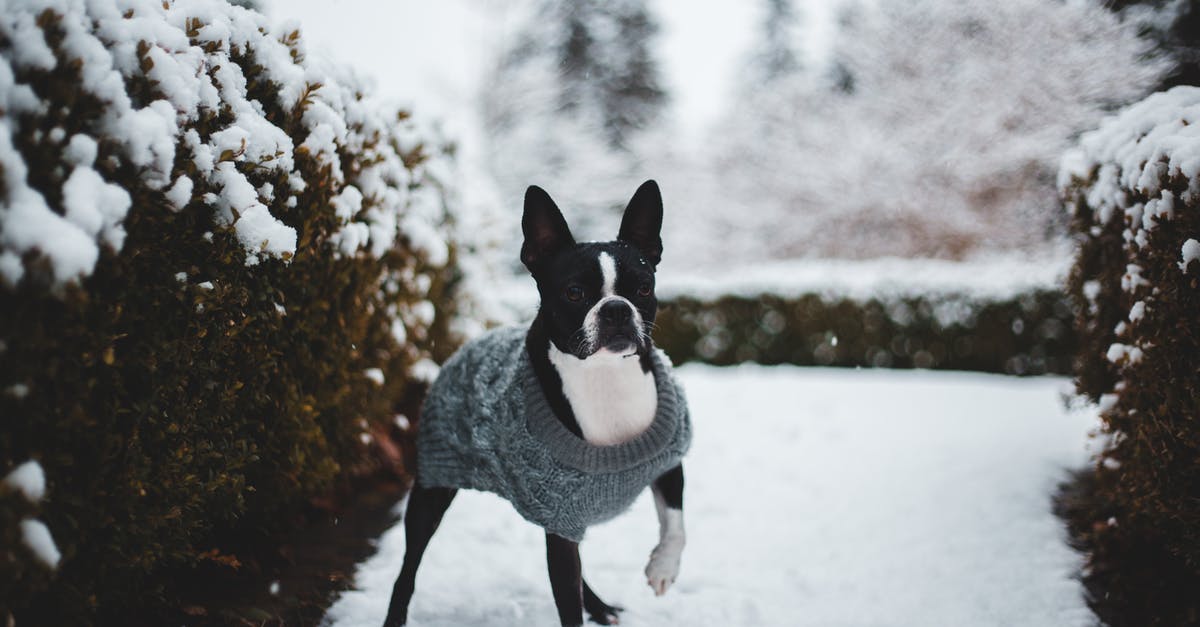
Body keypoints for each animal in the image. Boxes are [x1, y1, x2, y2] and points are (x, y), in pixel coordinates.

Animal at [384, 177, 696, 619]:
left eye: (644, 287)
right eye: (574, 292)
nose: (616, 309)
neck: (604, 375)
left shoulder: (667, 460)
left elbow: (676, 524)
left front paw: (662, 568)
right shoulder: (560, 516)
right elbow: (567, 600)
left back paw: (599, 607)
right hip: (432, 488)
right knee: (408, 569)